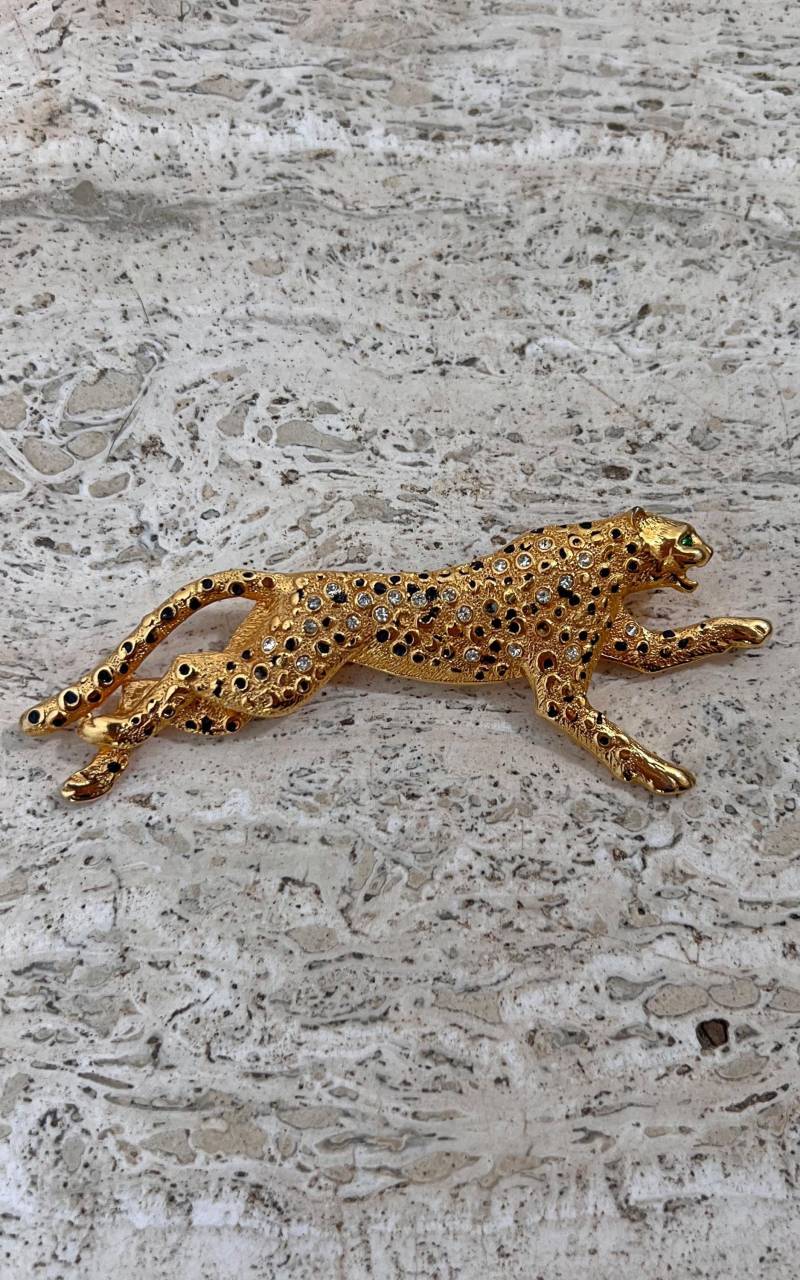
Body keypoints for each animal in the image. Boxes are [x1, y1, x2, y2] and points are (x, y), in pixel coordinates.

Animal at [20, 507, 771, 803]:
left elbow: (680, 643)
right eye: (685, 537)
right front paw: (655, 770)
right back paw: (107, 734)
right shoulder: (560, 690)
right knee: (179, 671)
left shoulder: (627, 645)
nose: (708, 548)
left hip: (256, 687)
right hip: (277, 679)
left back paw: (101, 750)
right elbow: (603, 731)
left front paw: (743, 628)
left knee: (154, 686)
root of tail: (286, 579)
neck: (601, 561)